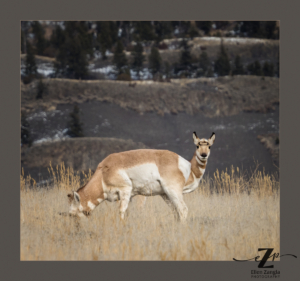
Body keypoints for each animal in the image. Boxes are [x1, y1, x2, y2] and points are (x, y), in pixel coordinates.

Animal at [67, 131, 214, 221]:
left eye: (72, 213)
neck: (103, 172)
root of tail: (182, 161)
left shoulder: (125, 191)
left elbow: (121, 212)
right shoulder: (130, 197)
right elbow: (127, 213)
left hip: (173, 192)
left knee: (183, 209)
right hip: (166, 195)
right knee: (176, 211)